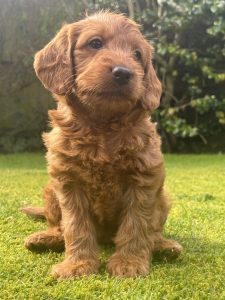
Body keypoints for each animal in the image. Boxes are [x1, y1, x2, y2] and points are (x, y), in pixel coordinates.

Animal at [22, 11, 182, 278]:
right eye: (95, 43)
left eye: (137, 55)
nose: (124, 72)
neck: (102, 125)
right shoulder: (68, 181)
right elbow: (75, 226)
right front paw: (77, 265)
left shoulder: (143, 178)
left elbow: (137, 224)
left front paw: (129, 263)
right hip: (50, 192)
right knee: (58, 226)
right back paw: (46, 238)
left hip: (164, 198)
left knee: (154, 230)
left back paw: (163, 246)